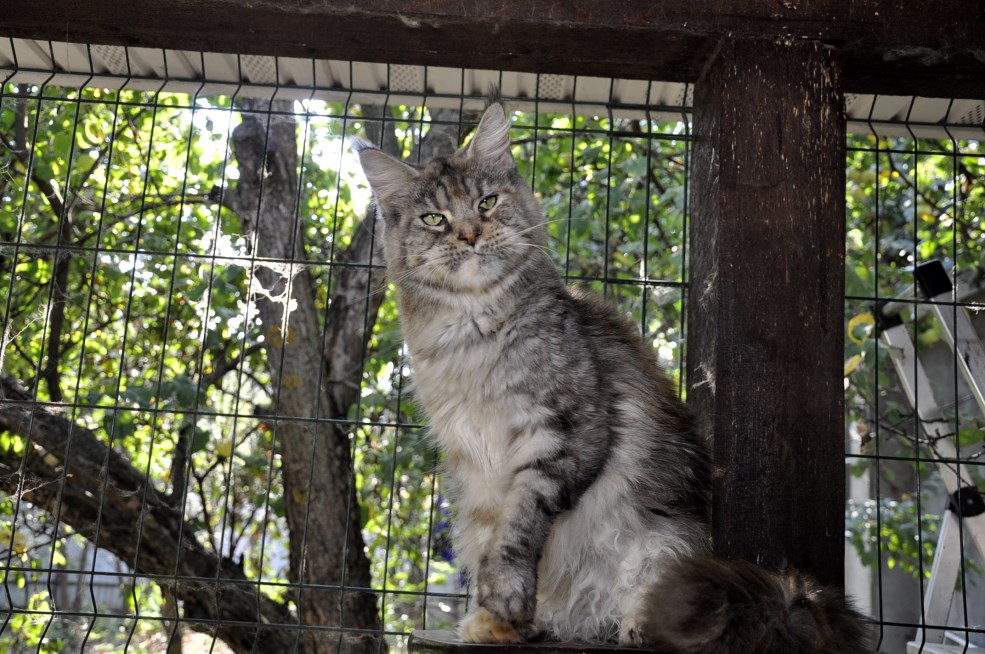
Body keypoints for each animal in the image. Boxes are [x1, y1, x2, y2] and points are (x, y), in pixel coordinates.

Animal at [356, 102, 870, 652]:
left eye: (487, 202)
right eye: (435, 218)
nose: (470, 234)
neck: (473, 334)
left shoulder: (563, 435)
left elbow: (515, 538)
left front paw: (502, 612)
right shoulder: (475, 465)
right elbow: (490, 543)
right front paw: (501, 620)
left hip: (666, 546)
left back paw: (633, 625)